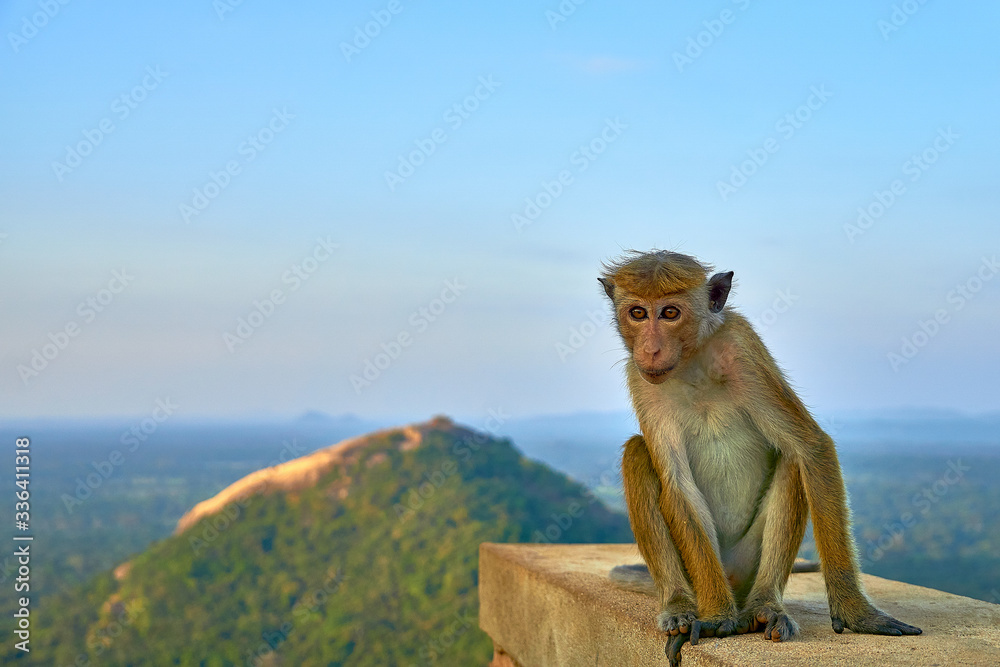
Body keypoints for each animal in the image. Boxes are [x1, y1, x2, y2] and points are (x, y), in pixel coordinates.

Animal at [598, 250, 920, 665]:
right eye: (638, 313)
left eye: (669, 313)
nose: (650, 349)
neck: (692, 361)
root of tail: (735, 583)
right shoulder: (641, 380)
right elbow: (677, 485)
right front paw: (717, 617)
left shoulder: (742, 346)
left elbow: (810, 446)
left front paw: (855, 612)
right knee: (638, 453)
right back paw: (682, 606)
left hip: (745, 561)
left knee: (790, 459)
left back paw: (765, 606)